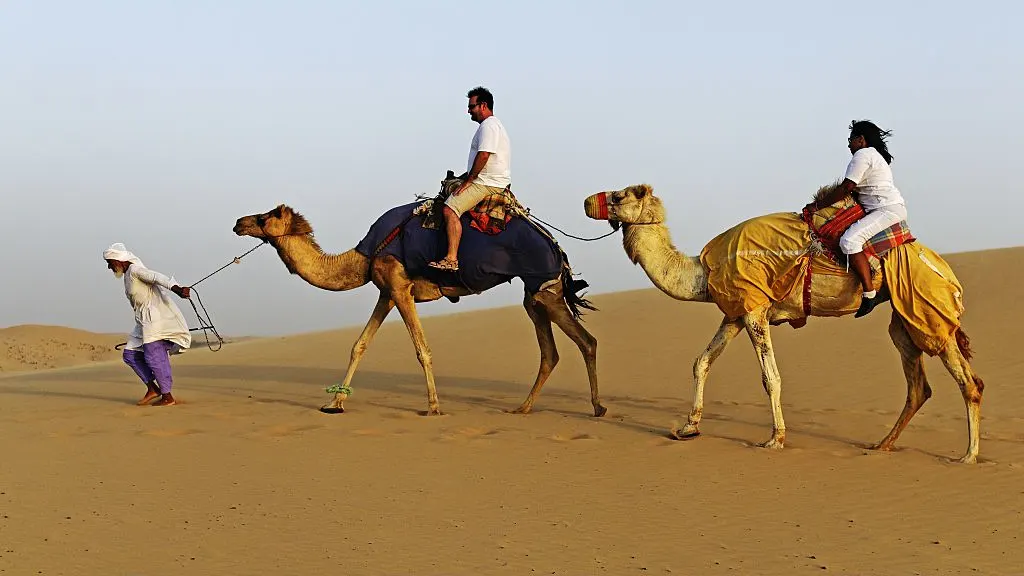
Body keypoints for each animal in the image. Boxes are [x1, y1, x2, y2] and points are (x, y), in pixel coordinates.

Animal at [232, 188, 605, 417]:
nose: (238, 222)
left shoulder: (399, 287)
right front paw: (335, 402)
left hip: (543, 286)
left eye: (265, 217)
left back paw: (597, 407)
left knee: (586, 341)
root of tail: (556, 245)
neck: (364, 255)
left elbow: (421, 349)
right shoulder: (387, 291)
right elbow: (359, 344)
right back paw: (524, 408)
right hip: (533, 292)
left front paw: (433, 407)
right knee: (551, 351)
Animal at [585, 183, 984, 463]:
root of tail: (946, 272)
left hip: (928, 308)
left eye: (619, 195)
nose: (588, 202)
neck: (705, 271)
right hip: (904, 317)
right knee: (918, 386)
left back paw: (968, 455)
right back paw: (882, 445)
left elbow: (770, 378)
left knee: (968, 382)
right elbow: (701, 362)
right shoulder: (735, 312)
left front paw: (775, 439)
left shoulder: (754, 311)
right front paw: (687, 428)